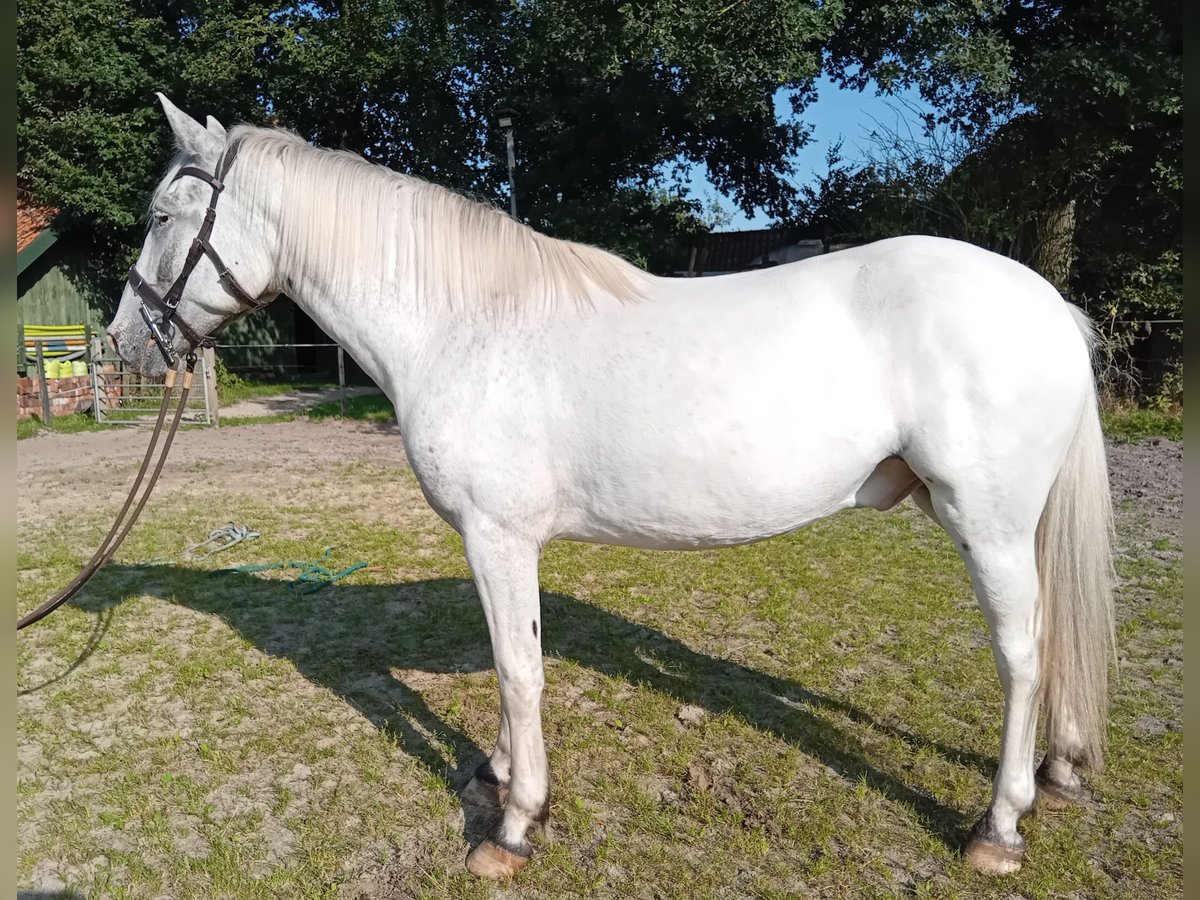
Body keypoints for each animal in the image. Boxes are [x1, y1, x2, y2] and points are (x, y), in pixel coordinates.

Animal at [105, 97, 1113, 883]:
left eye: (159, 217)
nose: (124, 345)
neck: (465, 321)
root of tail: (1044, 301)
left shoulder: (497, 534)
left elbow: (520, 671)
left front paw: (513, 827)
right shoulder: (495, 544)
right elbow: (511, 660)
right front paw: (497, 773)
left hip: (986, 523)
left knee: (1021, 657)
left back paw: (998, 827)